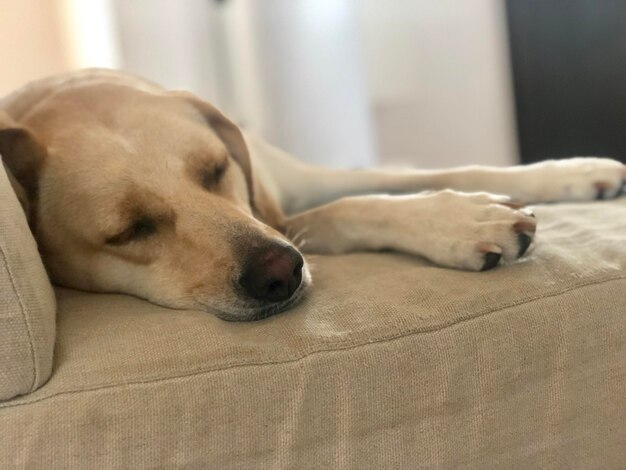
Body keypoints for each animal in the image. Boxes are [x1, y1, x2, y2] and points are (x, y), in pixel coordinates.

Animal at [1, 69, 624, 320]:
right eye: (129, 230)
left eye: (216, 168)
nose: (280, 273)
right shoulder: (289, 220)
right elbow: (348, 208)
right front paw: (461, 224)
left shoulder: (292, 187)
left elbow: (439, 169)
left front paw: (574, 173)